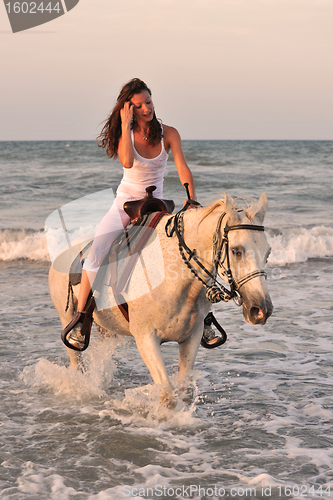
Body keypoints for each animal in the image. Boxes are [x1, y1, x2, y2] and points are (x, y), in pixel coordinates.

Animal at [49, 193, 272, 404]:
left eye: (268, 252)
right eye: (236, 251)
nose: (261, 310)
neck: (174, 276)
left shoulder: (191, 338)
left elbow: (185, 392)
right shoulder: (146, 339)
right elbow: (167, 394)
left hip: (107, 327)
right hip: (66, 317)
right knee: (77, 363)